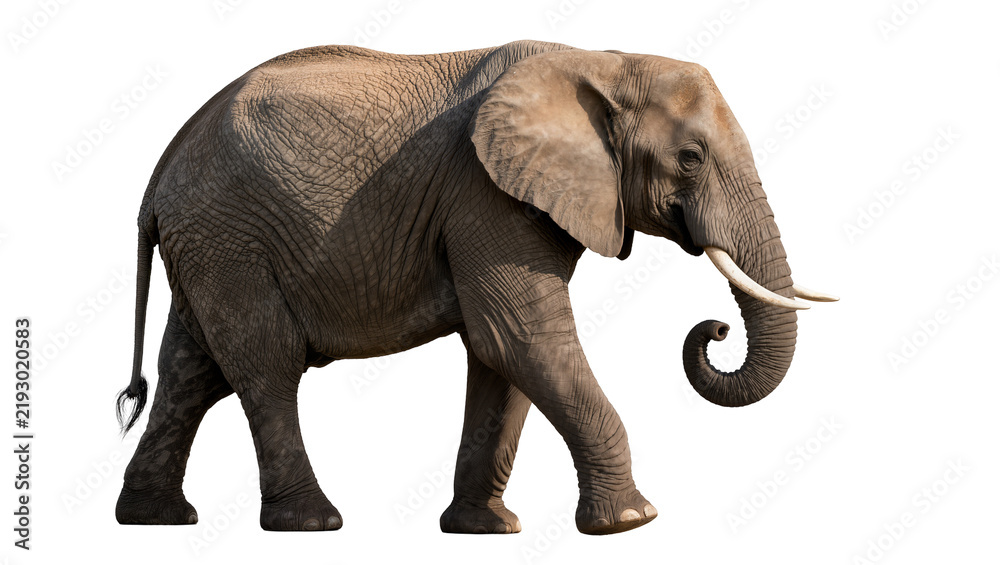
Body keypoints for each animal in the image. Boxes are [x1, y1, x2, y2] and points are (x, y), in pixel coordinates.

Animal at [114, 40, 836, 535]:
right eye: (691, 157)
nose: (715, 328)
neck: (602, 62)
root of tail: (160, 169)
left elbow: (501, 358)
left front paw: (487, 530)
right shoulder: (484, 195)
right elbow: (519, 336)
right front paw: (632, 522)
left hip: (207, 244)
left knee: (191, 370)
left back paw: (156, 519)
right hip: (228, 236)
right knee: (265, 364)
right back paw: (314, 524)